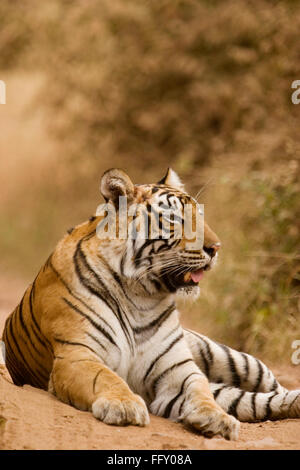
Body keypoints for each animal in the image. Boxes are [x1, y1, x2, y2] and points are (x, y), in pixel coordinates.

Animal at [1, 169, 298, 440]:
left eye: (200, 215)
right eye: (175, 219)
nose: (216, 248)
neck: (139, 297)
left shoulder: (177, 368)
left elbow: (199, 389)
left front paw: (217, 419)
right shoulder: (77, 355)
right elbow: (106, 377)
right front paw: (124, 406)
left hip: (236, 359)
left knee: (269, 388)